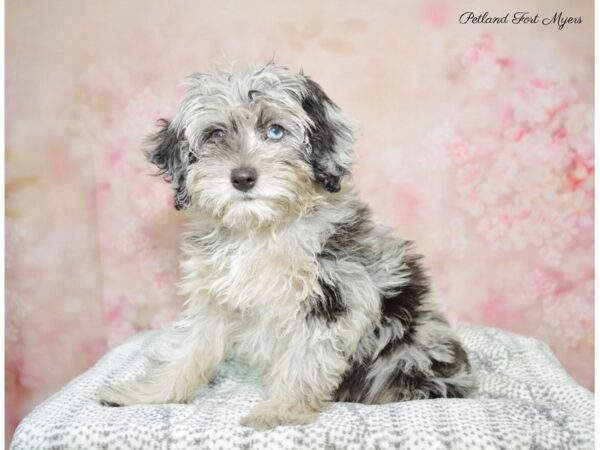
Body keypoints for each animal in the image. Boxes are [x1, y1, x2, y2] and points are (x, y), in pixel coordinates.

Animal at [98, 62, 478, 428]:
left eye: (276, 131)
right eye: (215, 134)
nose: (242, 178)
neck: (261, 230)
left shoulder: (331, 299)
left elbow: (305, 361)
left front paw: (280, 411)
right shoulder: (214, 300)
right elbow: (186, 352)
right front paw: (147, 394)